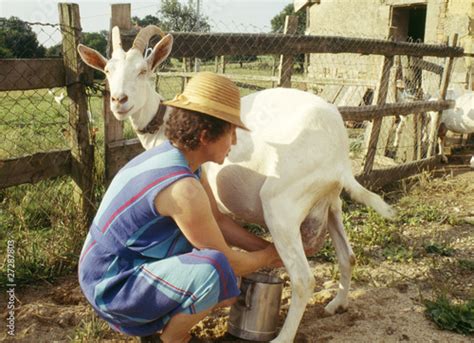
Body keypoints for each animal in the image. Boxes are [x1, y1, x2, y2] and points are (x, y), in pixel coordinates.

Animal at [78, 26, 396, 343]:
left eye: (143, 70)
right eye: (107, 70)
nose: (120, 101)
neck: (165, 123)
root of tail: (339, 155)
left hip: (282, 205)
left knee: (304, 279)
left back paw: (283, 336)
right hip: (330, 203)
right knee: (347, 256)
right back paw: (336, 305)